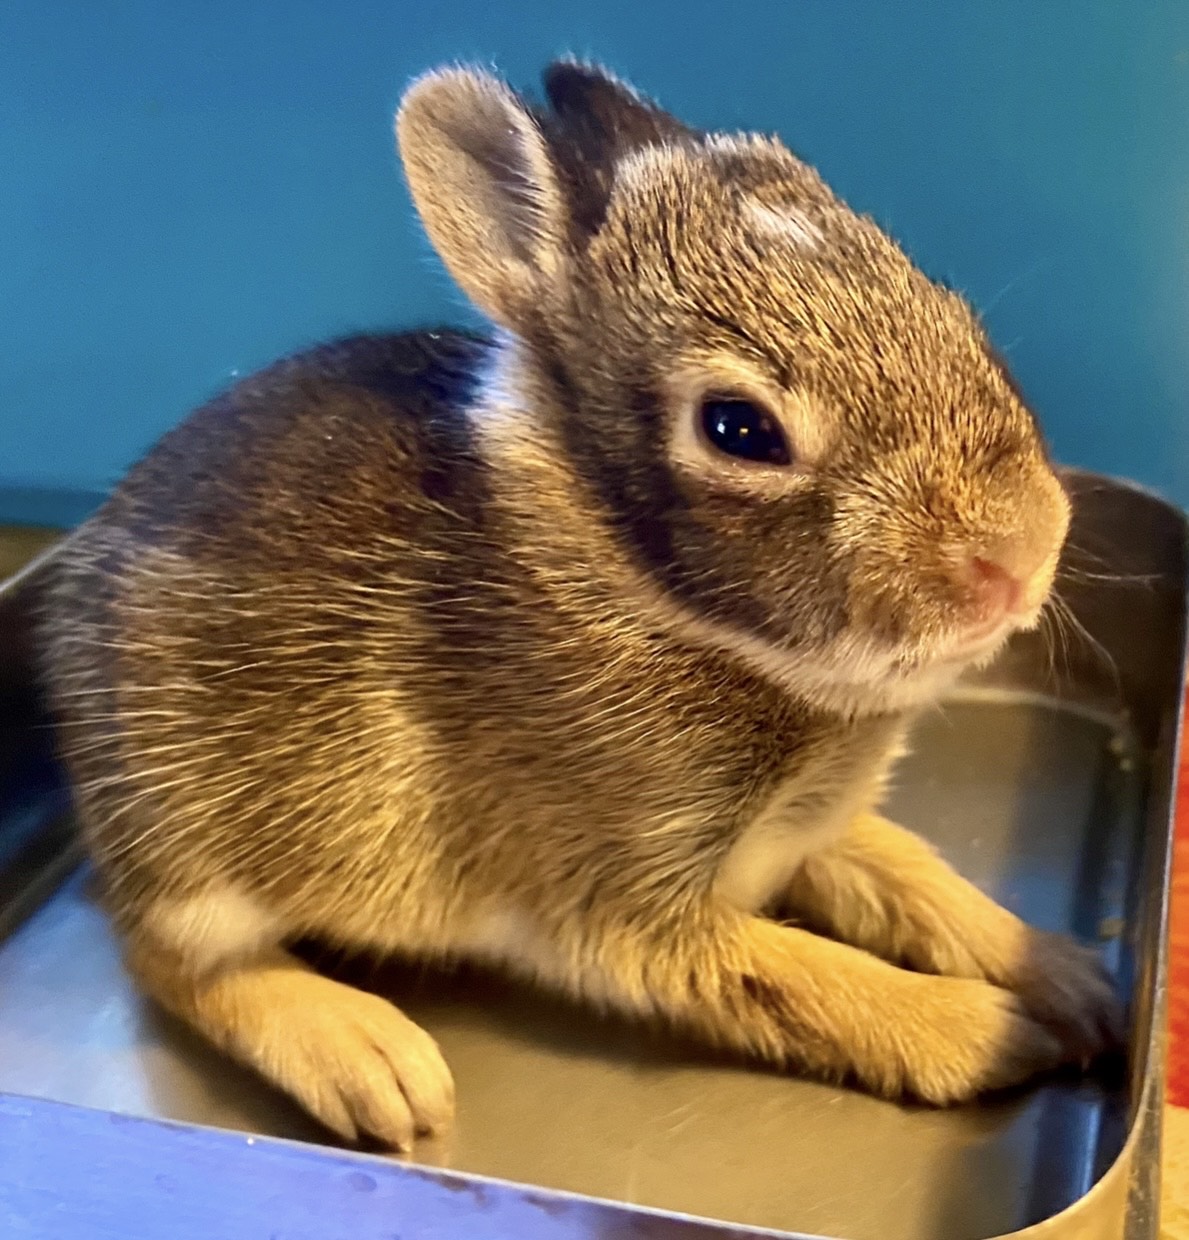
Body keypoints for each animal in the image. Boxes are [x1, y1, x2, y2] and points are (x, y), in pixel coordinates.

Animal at [36, 59, 1120, 1152]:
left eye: (947, 303)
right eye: (738, 429)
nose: (1022, 551)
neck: (662, 602)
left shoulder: (813, 833)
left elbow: (912, 877)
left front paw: (1069, 979)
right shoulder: (625, 907)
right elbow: (811, 978)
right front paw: (988, 1032)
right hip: (195, 843)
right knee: (168, 959)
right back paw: (370, 1060)